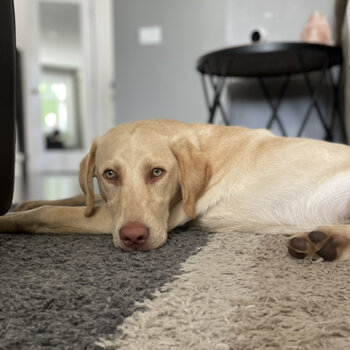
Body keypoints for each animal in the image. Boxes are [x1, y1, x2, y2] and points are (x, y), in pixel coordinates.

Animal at [2, 119, 350, 262]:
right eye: (109, 174)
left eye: (157, 172)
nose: (134, 238)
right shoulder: (105, 203)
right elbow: (75, 198)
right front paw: (24, 202)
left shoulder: (160, 217)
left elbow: (49, 213)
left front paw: (8, 219)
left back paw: (324, 240)